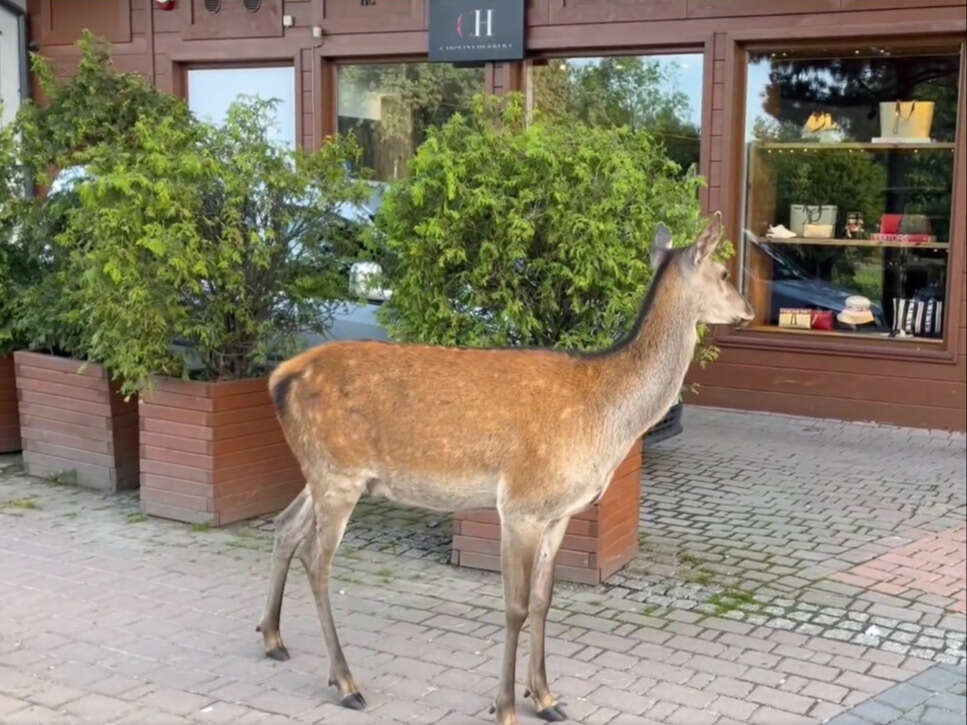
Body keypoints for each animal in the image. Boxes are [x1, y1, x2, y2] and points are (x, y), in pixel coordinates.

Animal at [258, 212, 756, 720]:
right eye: (722, 273)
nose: (750, 310)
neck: (603, 417)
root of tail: (279, 378)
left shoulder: (559, 513)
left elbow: (542, 600)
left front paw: (547, 697)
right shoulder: (521, 505)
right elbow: (514, 606)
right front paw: (506, 706)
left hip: (324, 471)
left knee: (285, 526)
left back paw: (274, 639)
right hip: (339, 474)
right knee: (316, 560)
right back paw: (346, 683)